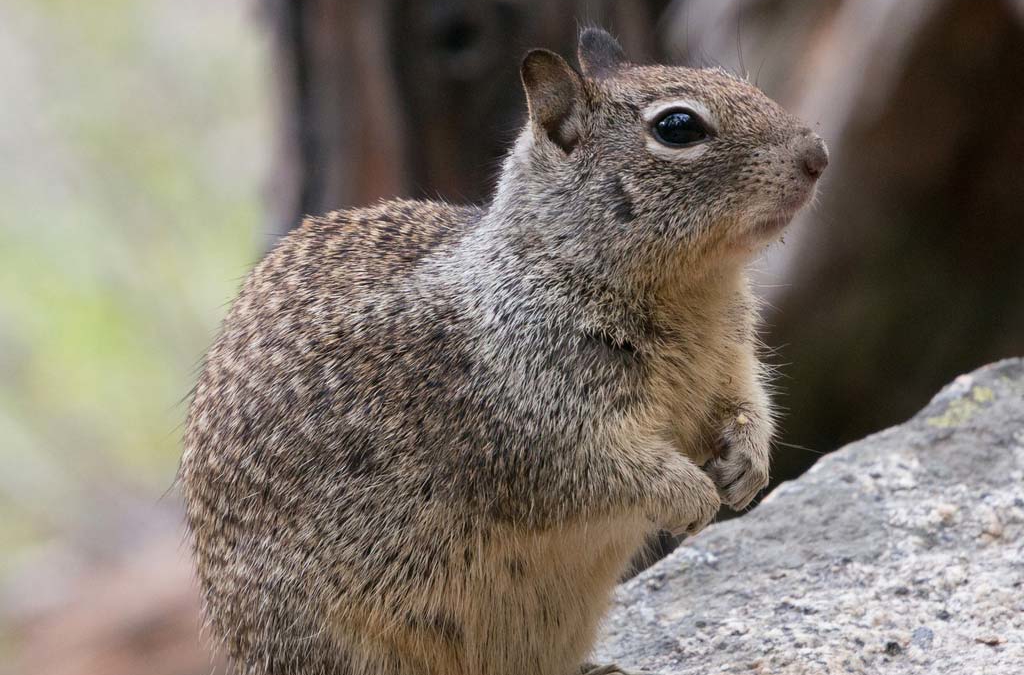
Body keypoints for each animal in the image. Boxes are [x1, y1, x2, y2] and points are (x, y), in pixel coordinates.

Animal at [182, 26, 823, 675]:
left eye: (736, 80)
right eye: (678, 127)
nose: (818, 154)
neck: (694, 292)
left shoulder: (731, 365)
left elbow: (747, 407)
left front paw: (747, 466)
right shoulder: (537, 424)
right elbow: (608, 470)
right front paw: (691, 495)